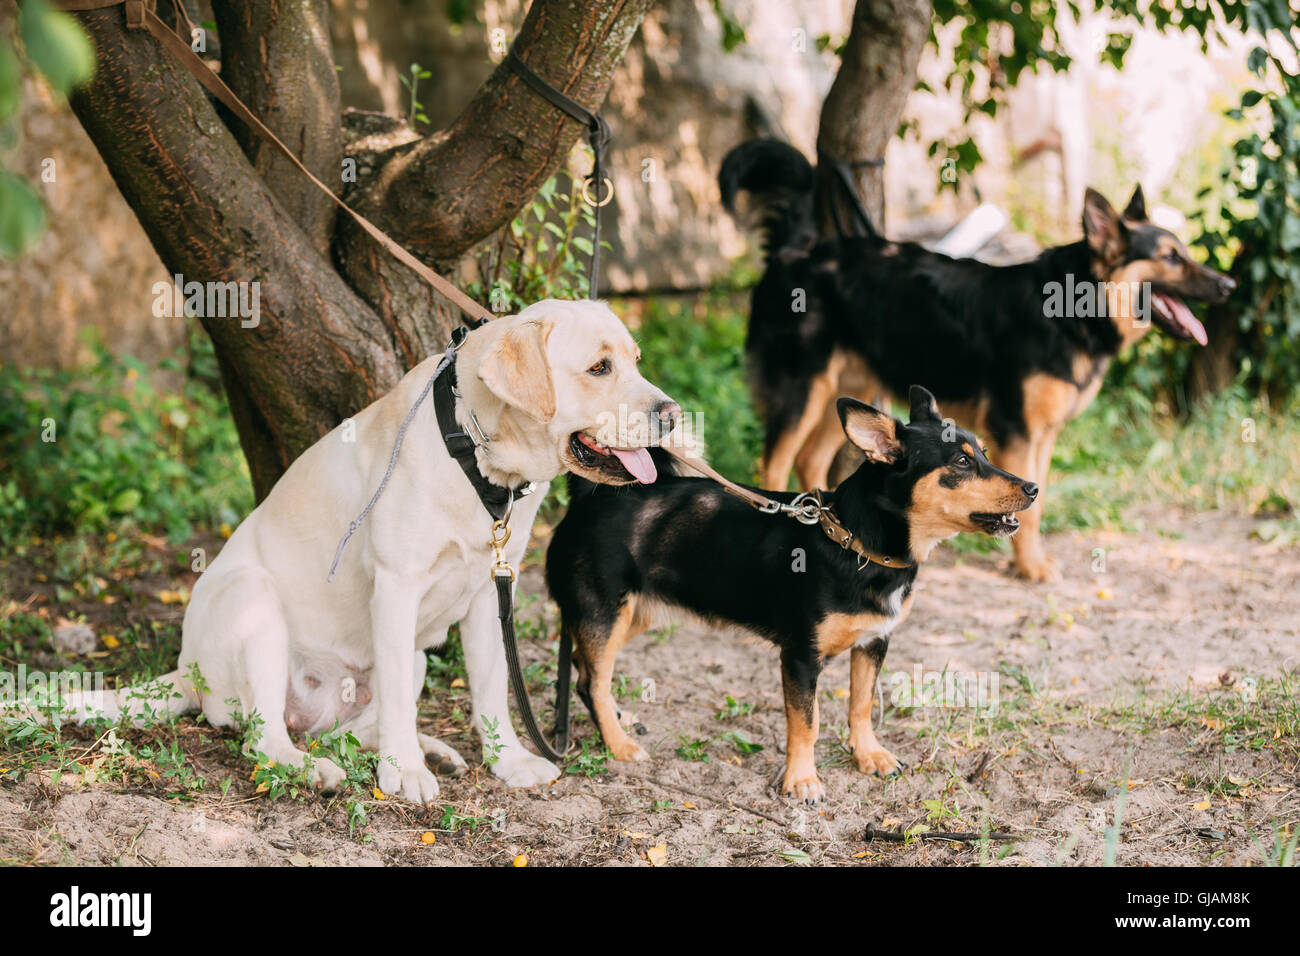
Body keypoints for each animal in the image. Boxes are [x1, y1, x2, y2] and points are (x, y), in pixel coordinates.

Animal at [55, 299, 676, 801]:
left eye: (637, 360)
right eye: (599, 368)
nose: (671, 413)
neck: (476, 455)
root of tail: (186, 669)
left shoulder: (490, 592)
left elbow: (492, 693)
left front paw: (508, 763)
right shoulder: (398, 587)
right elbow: (407, 700)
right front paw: (403, 775)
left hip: (415, 656)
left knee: (350, 730)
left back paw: (429, 751)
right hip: (255, 603)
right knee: (265, 739)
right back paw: (316, 769)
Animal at [546, 385, 1034, 806]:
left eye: (985, 454)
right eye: (962, 463)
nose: (1033, 488)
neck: (857, 545)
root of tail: (589, 496)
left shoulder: (874, 642)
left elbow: (860, 706)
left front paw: (868, 755)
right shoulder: (800, 657)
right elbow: (806, 724)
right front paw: (801, 780)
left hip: (631, 615)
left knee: (585, 669)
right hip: (604, 613)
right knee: (593, 681)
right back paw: (618, 744)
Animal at [722, 138, 1237, 580]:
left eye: (1182, 252)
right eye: (1170, 257)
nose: (1229, 285)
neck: (1072, 310)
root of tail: (795, 249)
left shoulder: (1042, 436)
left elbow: (1035, 502)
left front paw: (1028, 559)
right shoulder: (1018, 430)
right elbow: (1028, 509)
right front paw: (1030, 568)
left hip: (849, 392)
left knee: (811, 460)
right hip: (802, 390)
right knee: (772, 464)